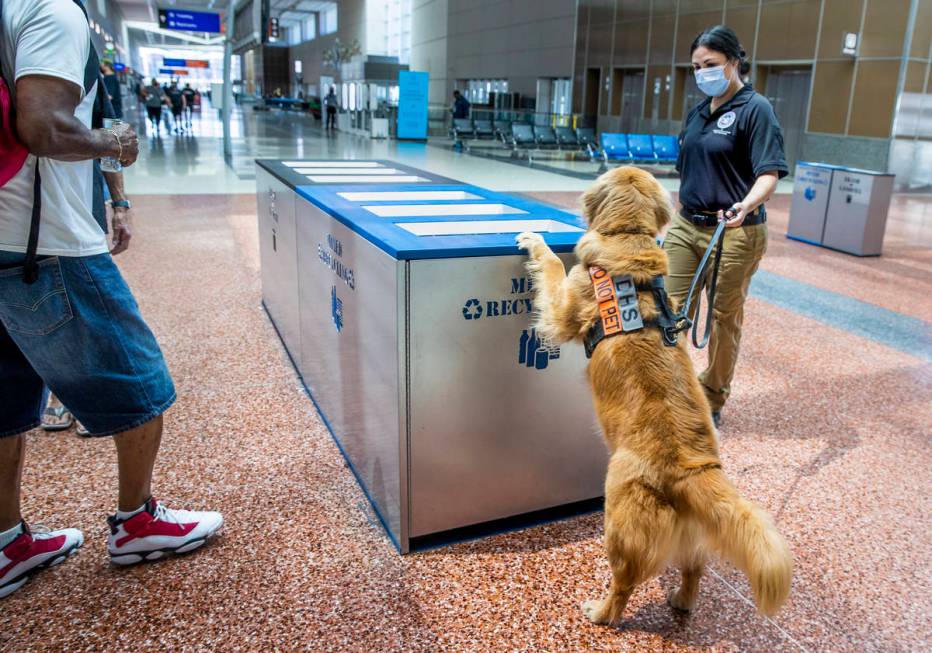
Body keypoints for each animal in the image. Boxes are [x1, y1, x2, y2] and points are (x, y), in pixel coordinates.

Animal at [512, 168, 792, 628]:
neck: (628, 239)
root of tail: (694, 470)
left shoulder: (564, 307)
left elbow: (552, 266)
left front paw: (536, 241)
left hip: (620, 519)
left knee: (623, 585)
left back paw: (600, 612)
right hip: (691, 539)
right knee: (694, 570)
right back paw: (681, 600)